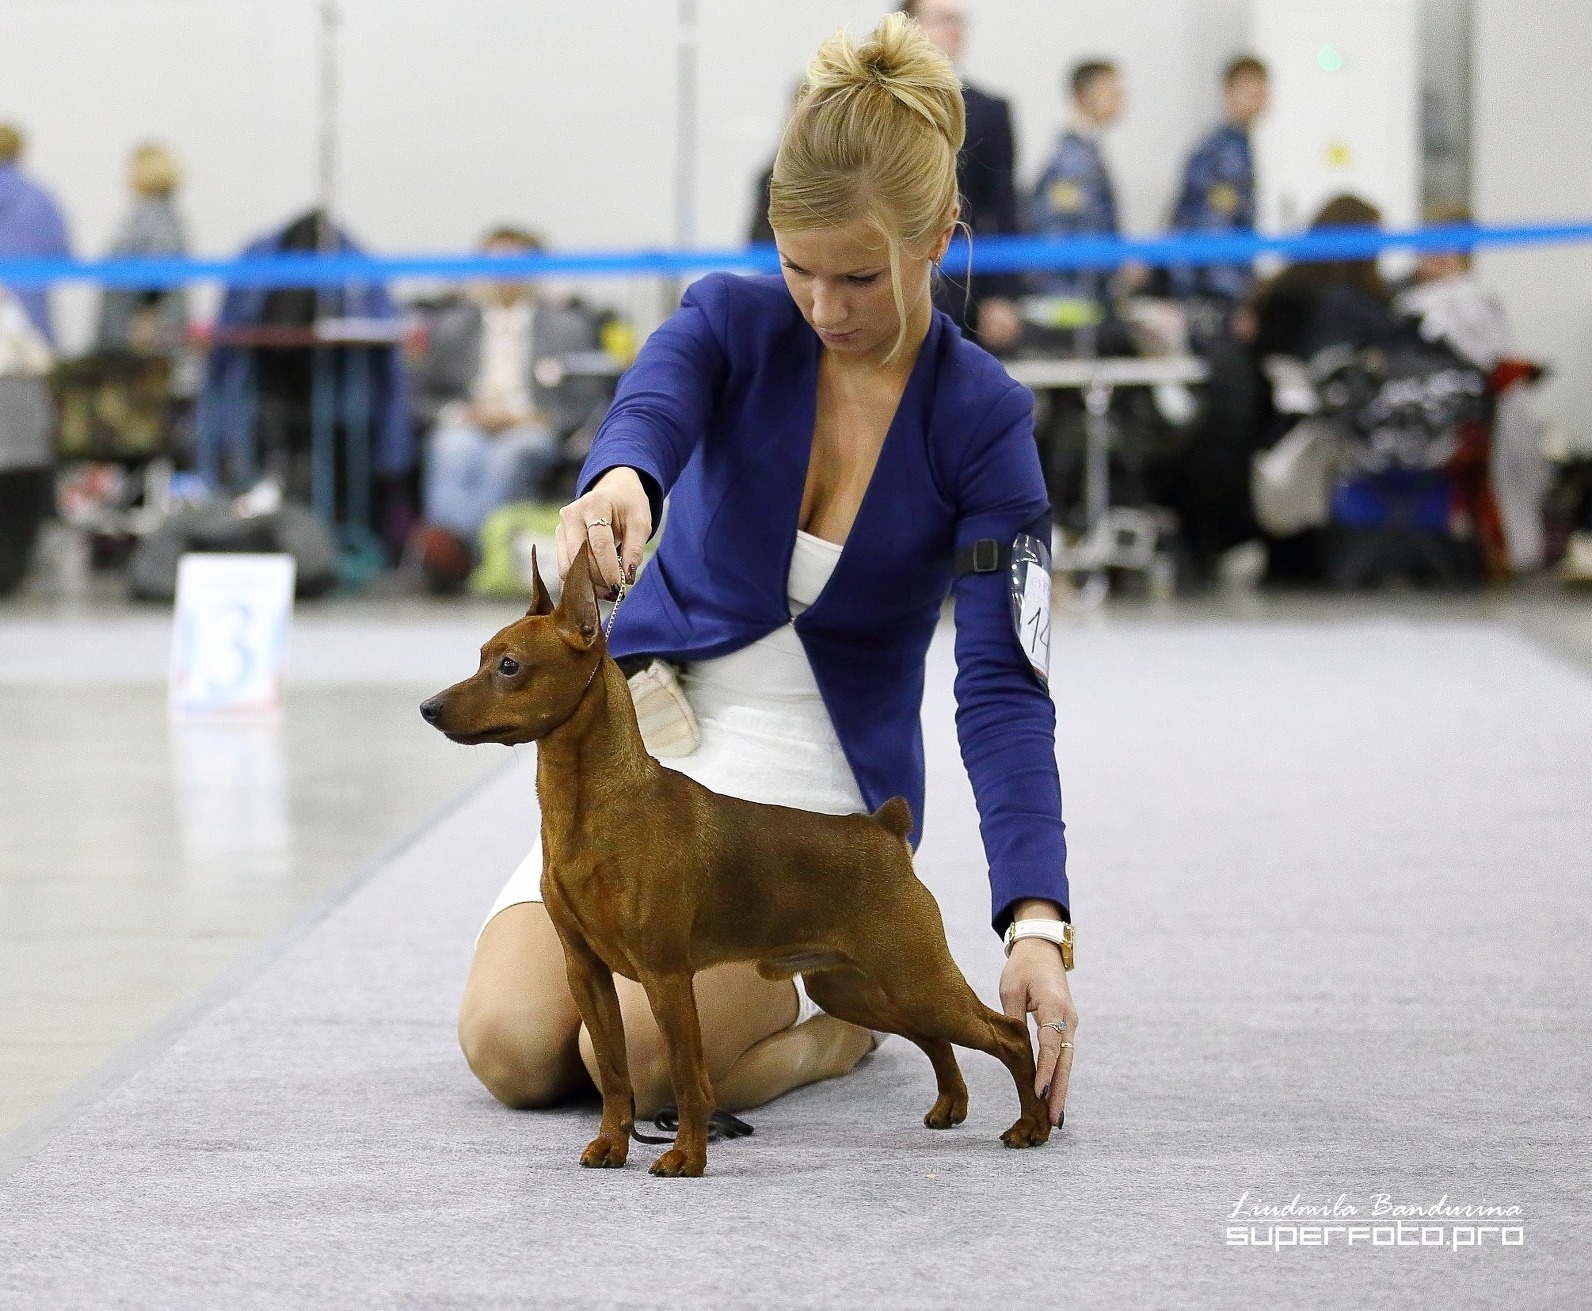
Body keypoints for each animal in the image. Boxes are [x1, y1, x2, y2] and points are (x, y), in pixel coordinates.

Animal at [417, 544, 1050, 1178]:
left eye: (509, 667)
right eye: (480, 657)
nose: (428, 708)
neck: (597, 807)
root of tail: (884, 830)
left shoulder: (666, 978)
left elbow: (687, 1077)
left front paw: (686, 1158)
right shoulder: (587, 972)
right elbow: (615, 1073)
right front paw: (612, 1146)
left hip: (912, 975)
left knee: (1008, 1033)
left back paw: (1032, 1126)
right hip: (856, 987)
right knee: (934, 1035)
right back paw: (950, 1105)